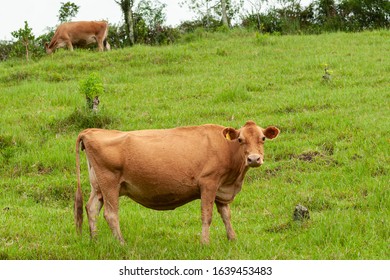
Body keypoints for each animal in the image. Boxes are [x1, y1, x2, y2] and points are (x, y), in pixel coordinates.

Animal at [74, 121, 280, 244]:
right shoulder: (209, 183)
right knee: (111, 214)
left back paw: (94, 240)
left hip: (97, 186)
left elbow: (226, 215)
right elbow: (207, 215)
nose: (254, 159)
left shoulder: (222, 189)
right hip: (109, 183)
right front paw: (205, 243)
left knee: (91, 208)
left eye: (262, 138)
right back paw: (121, 244)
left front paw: (232, 239)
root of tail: (91, 131)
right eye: (240, 139)